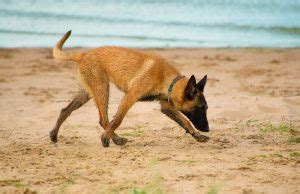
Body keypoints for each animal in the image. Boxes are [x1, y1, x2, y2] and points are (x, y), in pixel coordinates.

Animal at [49, 30, 209, 147]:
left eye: (206, 108)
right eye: (200, 108)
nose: (208, 129)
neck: (167, 80)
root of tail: (83, 54)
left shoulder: (167, 107)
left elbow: (185, 121)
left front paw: (198, 136)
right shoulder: (129, 97)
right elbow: (117, 120)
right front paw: (105, 138)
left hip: (87, 93)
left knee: (65, 110)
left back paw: (54, 135)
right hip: (102, 90)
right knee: (104, 120)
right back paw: (115, 139)